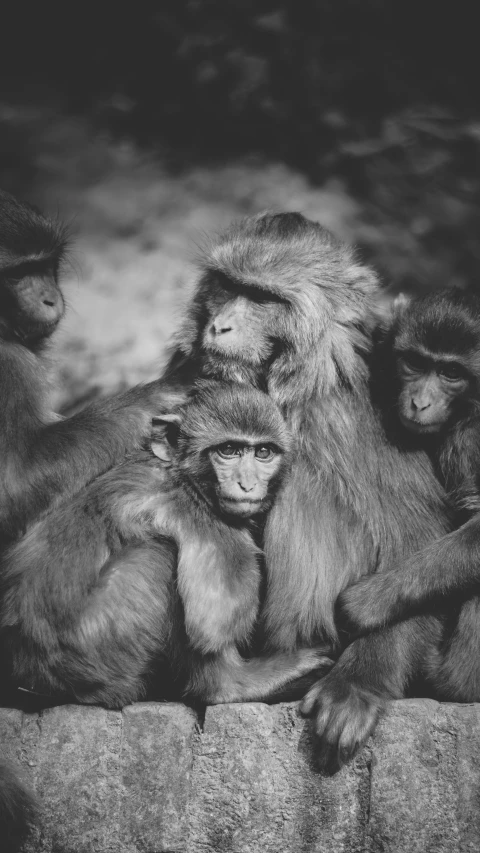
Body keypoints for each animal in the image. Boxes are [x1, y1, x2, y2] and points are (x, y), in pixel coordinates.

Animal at [0, 187, 184, 548]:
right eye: (16, 274)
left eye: (45, 265)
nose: (50, 298)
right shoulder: (10, 365)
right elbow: (15, 488)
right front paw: (155, 397)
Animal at [0, 382, 330, 708]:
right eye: (228, 450)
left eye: (263, 452)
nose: (247, 485)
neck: (180, 471)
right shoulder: (198, 513)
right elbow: (211, 621)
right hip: (97, 654)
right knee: (161, 554)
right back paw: (228, 685)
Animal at [158, 213, 454, 772]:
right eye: (226, 285)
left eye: (262, 297)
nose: (219, 325)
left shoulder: (351, 412)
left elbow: (414, 546)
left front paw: (359, 683)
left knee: (307, 483)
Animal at [336, 290, 480, 704]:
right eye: (415, 363)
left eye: (452, 374)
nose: (420, 402)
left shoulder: (470, 435)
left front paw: (365, 603)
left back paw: (455, 680)